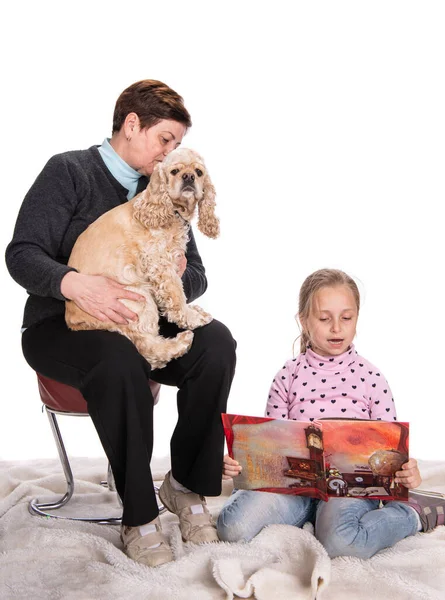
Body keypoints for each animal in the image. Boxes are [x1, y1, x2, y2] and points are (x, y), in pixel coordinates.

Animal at [65, 148, 219, 368]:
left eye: (199, 172)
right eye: (174, 171)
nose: (188, 177)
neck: (170, 210)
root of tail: (74, 322)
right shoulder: (160, 263)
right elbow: (177, 296)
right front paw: (192, 316)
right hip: (137, 296)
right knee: (147, 346)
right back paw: (182, 342)